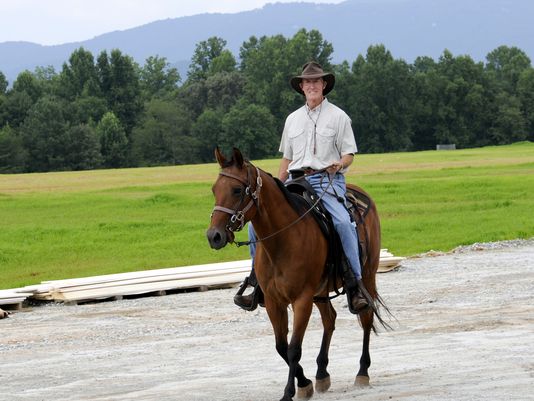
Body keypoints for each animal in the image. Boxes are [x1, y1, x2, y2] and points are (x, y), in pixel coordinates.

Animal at [207, 148, 388, 400]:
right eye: (215, 189)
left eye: (236, 190)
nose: (213, 236)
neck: (283, 241)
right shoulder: (274, 301)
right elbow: (281, 346)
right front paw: (305, 383)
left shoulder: (302, 299)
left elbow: (294, 348)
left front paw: (291, 391)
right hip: (320, 292)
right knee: (330, 319)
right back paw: (322, 373)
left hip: (368, 276)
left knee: (366, 317)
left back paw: (362, 372)